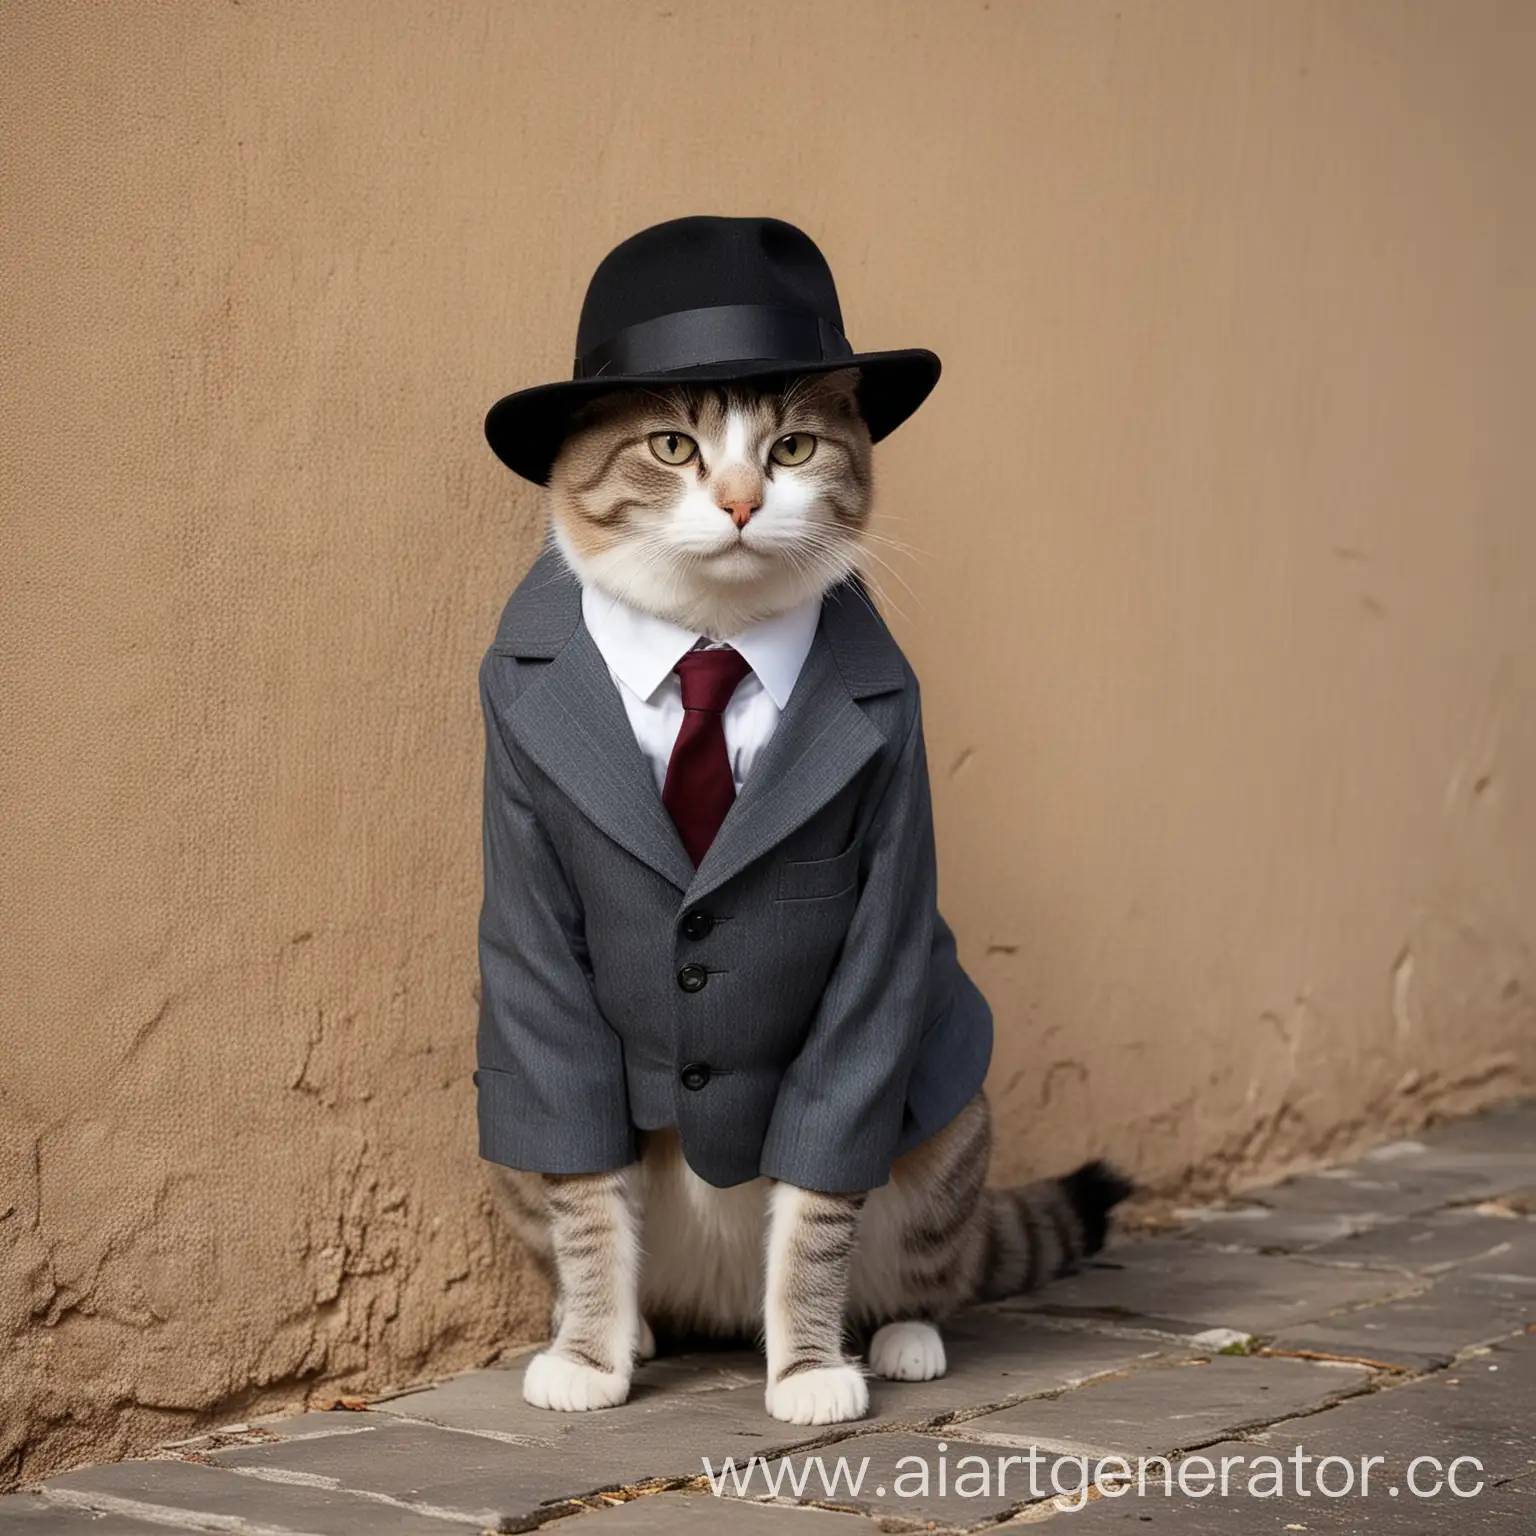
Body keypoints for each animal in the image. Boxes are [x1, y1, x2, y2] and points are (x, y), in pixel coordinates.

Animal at [491, 365, 1130, 1419]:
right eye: (673, 447)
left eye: (791, 449)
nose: (742, 501)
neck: (713, 639)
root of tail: (718, 1305)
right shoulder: (533, 919)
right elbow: (586, 1205)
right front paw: (587, 1354)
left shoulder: (878, 930)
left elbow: (815, 1219)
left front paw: (808, 1373)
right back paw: (633, 1326)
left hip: (949, 1131)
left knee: (932, 1265)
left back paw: (903, 1337)